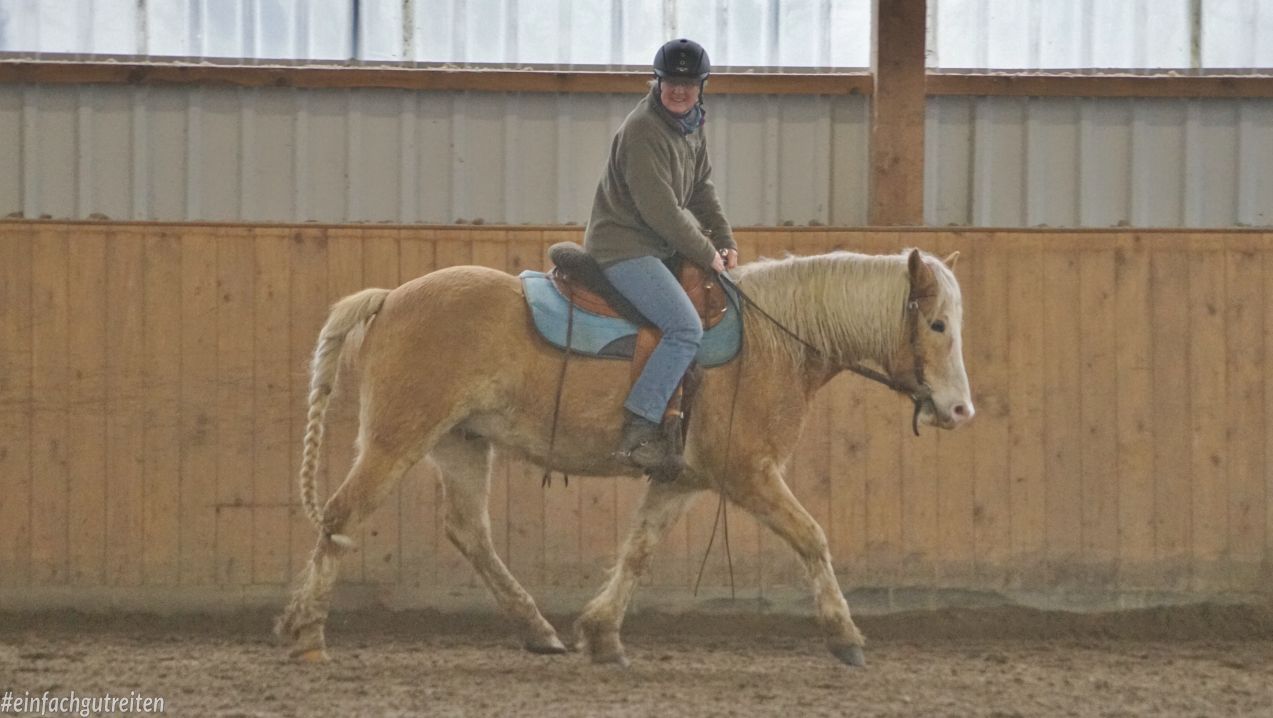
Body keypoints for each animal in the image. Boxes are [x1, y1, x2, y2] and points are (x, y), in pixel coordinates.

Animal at [275, 247, 974, 667]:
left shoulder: (682, 479)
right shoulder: (750, 475)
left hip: (461, 444)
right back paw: (307, 635)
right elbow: (811, 538)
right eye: (937, 324)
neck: (772, 342)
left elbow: (638, 550)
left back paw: (539, 631)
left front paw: (602, 632)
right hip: (397, 438)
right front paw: (845, 636)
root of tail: (389, 296)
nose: (961, 410)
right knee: (341, 516)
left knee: (469, 533)